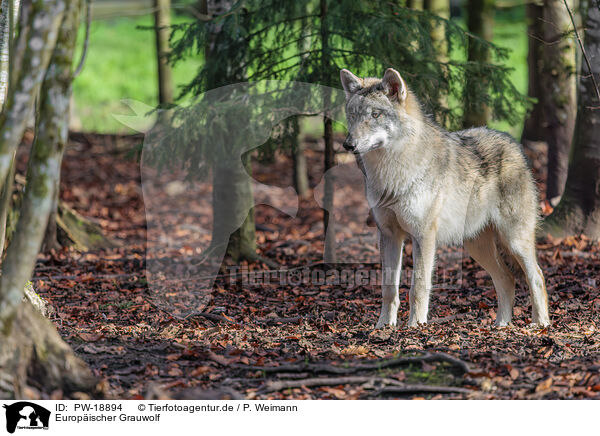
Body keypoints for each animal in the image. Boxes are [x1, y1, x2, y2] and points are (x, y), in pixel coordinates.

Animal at [340, 68, 552, 328]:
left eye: (375, 114)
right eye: (352, 115)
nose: (348, 144)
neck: (392, 171)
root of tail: (515, 144)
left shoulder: (423, 235)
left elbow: (418, 287)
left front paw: (415, 326)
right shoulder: (389, 235)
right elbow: (388, 288)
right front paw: (384, 327)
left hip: (514, 240)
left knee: (537, 276)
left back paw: (540, 324)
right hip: (476, 246)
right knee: (507, 278)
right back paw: (501, 325)